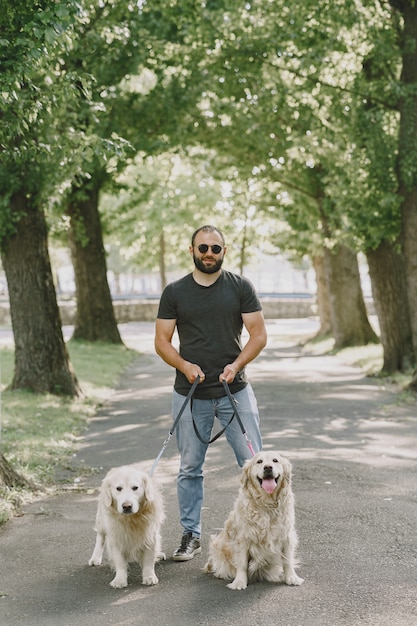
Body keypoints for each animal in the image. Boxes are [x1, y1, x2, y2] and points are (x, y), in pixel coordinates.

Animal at [204, 446, 304, 588]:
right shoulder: (242, 537)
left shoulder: (287, 535)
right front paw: (239, 582)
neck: (267, 504)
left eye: (275, 460)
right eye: (259, 461)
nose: (268, 467)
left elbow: (287, 560)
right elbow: (241, 563)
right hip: (216, 545)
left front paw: (292, 577)